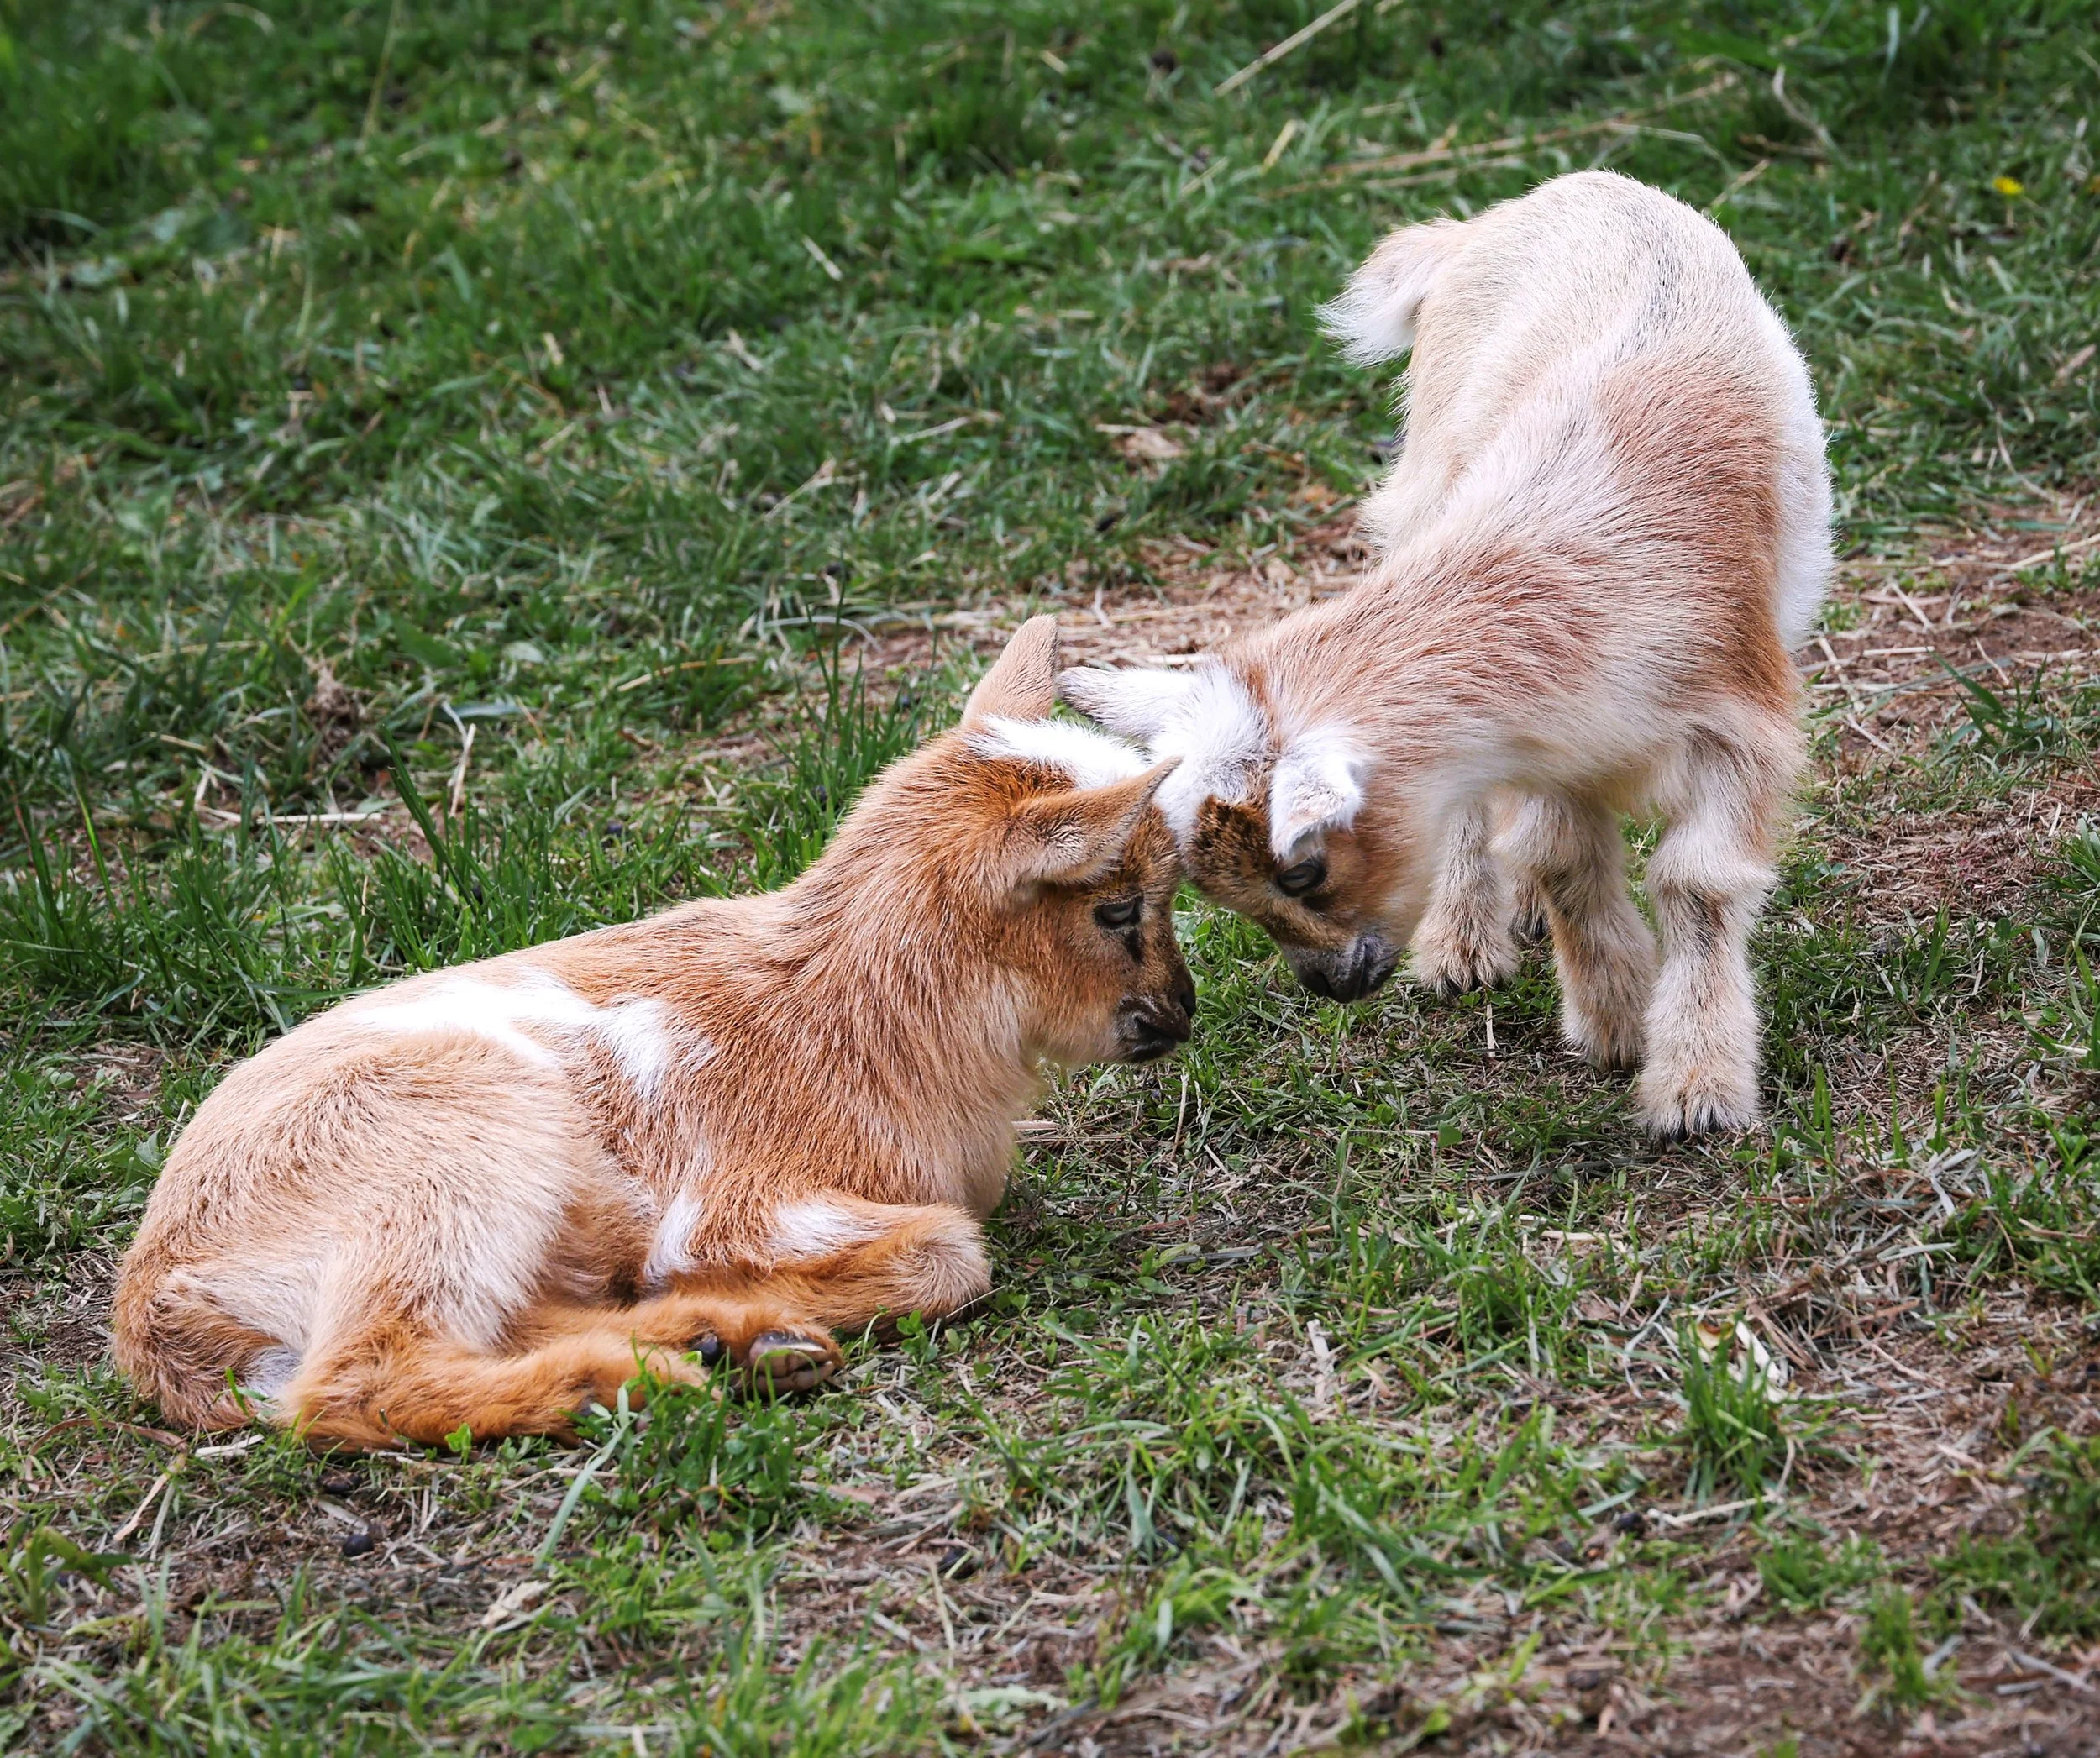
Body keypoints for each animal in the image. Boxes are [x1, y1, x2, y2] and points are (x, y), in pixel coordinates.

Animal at [112, 619, 1194, 1448]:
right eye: (1116, 909)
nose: (1180, 1013)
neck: (855, 1019)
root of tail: (154, 1309)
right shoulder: (736, 1200)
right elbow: (953, 1252)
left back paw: (734, 1342)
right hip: (451, 1148)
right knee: (357, 1382)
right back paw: (655, 1373)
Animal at [1061, 171, 1832, 1136]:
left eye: (1303, 869)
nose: (1332, 984)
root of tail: (1556, 194)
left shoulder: (1733, 723)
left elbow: (1698, 884)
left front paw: (1695, 1087)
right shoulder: (1549, 739)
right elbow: (1560, 858)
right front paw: (1614, 1023)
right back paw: (1464, 943)